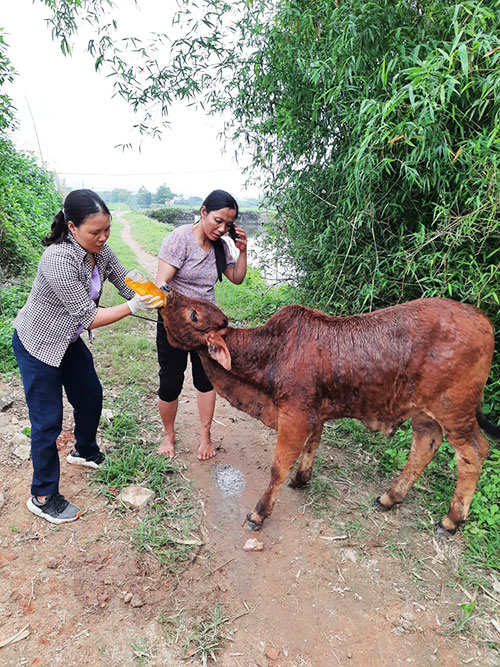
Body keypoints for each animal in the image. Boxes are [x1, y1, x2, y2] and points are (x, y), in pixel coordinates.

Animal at [158, 290, 498, 536]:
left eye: (193, 314)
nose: (167, 290)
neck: (271, 353)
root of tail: (481, 318)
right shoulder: (314, 415)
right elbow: (312, 446)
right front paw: (301, 479)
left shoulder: (295, 415)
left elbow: (278, 467)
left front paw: (259, 513)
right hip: (425, 413)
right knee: (425, 445)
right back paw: (390, 497)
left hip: (455, 411)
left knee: (475, 452)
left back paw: (451, 519)